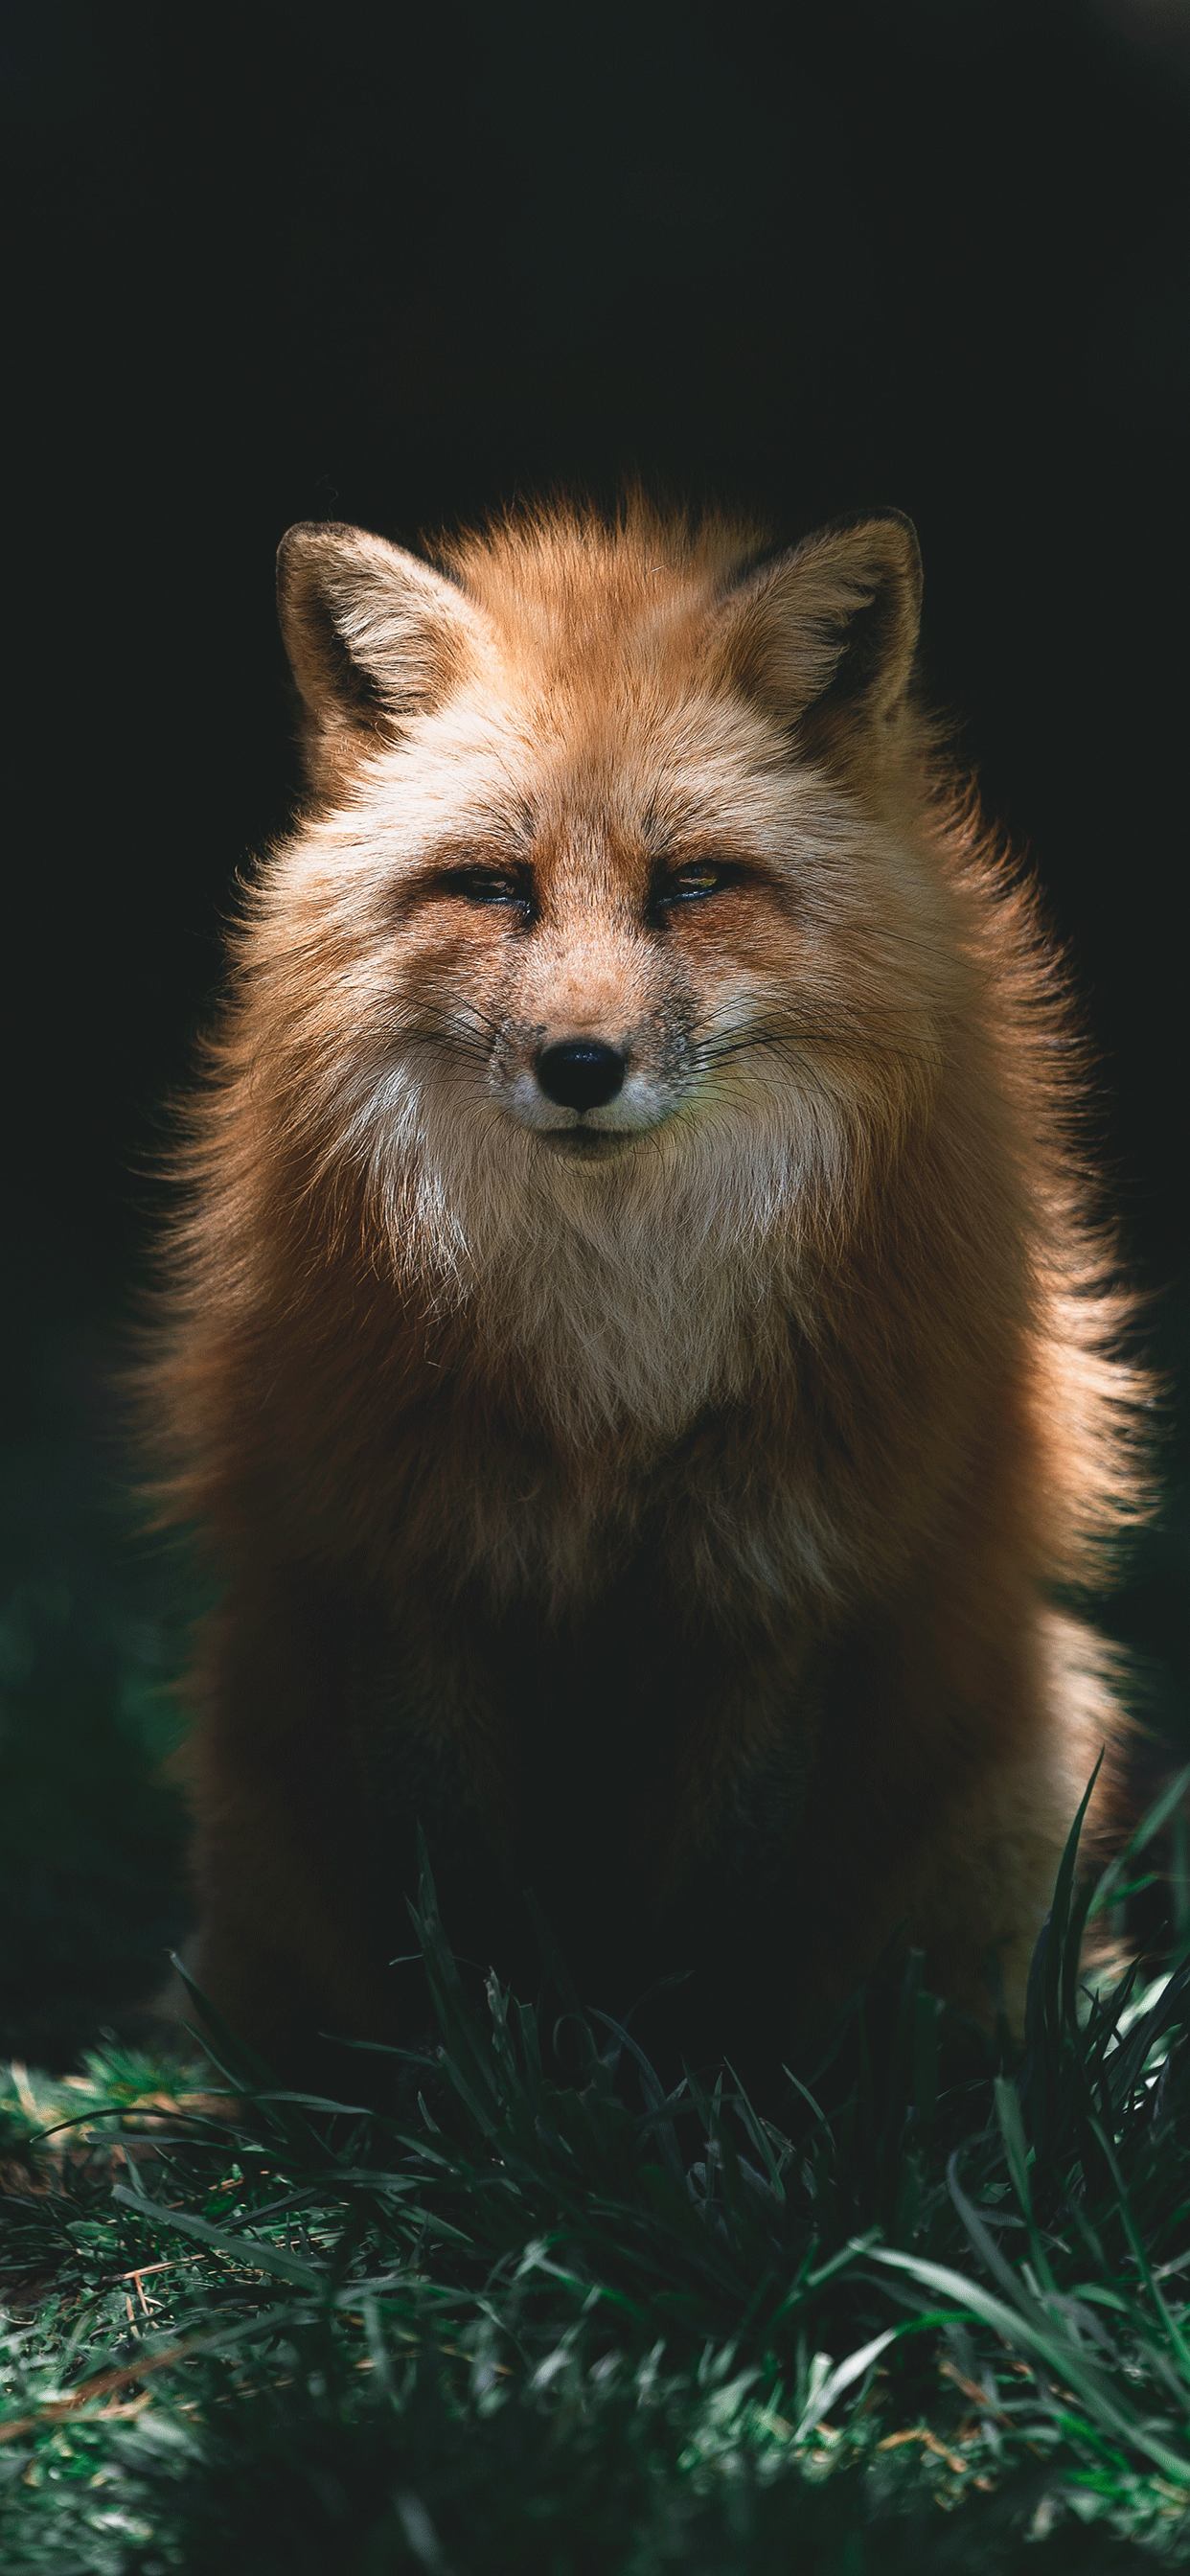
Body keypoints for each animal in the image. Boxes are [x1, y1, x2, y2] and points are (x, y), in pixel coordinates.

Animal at [147, 496, 1142, 2086]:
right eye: (495, 887)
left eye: (691, 886)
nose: (579, 1068)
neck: (616, 1358)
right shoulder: (409, 1557)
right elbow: (459, 1911)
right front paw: (478, 2100)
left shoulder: (779, 1574)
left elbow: (716, 1917)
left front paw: (693, 2104)